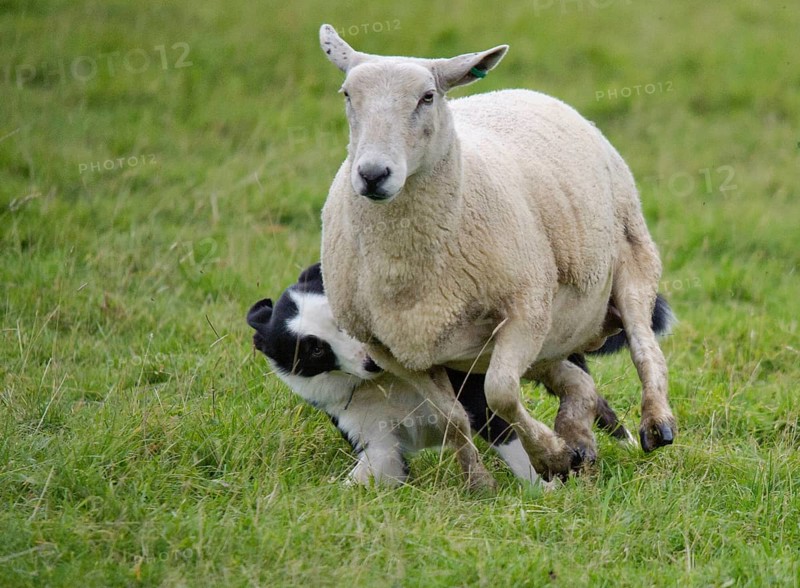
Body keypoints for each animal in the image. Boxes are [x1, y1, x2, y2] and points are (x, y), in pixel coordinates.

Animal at [317, 25, 676, 488]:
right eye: (347, 95)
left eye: (427, 97)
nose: (373, 174)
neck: (406, 272)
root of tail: (528, 93)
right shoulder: (389, 348)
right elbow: (452, 417)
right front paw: (479, 483)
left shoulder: (526, 308)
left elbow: (500, 392)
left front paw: (549, 455)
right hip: (551, 337)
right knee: (578, 382)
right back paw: (579, 441)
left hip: (632, 257)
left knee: (644, 347)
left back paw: (655, 424)